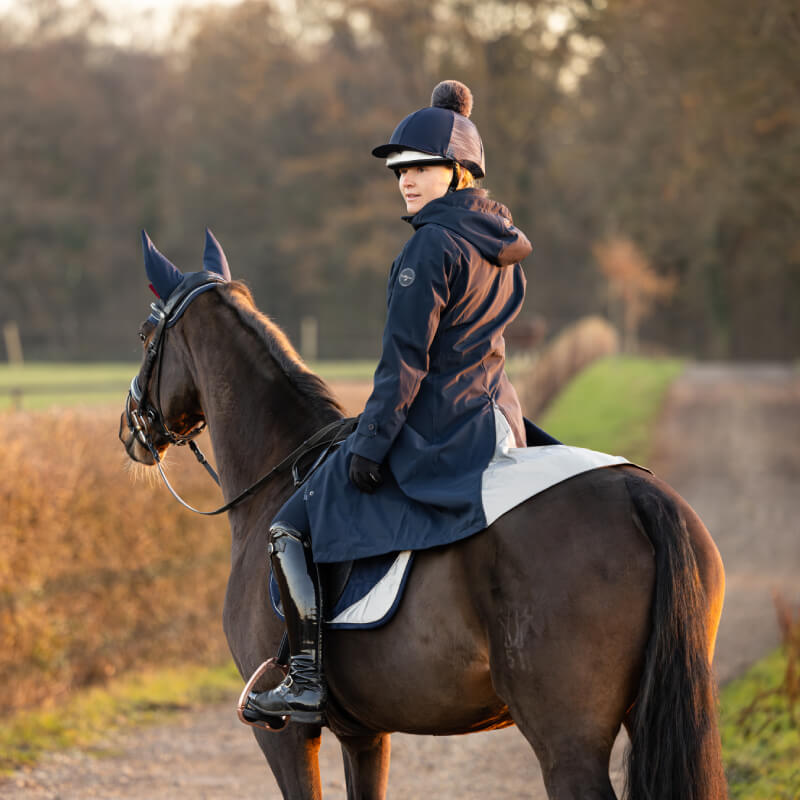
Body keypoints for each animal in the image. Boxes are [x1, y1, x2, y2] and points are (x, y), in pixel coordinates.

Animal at [118, 235, 727, 800]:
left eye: (146, 336)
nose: (130, 430)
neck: (278, 467)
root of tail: (637, 493)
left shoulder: (286, 736)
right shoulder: (366, 735)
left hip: (568, 742)